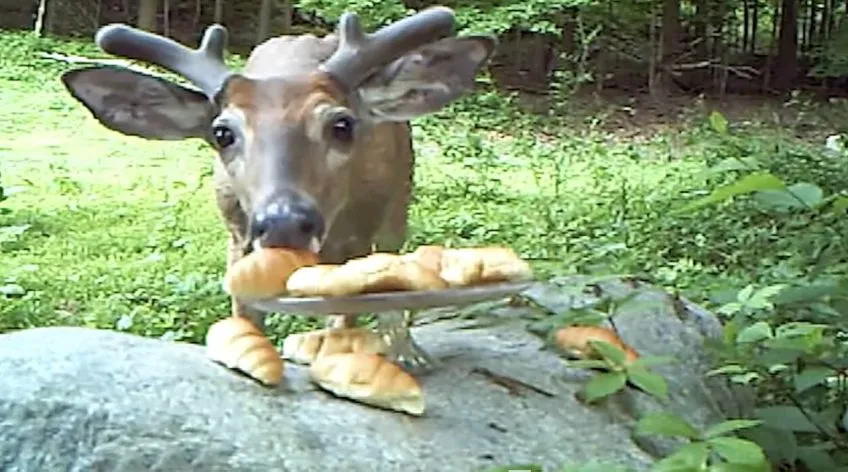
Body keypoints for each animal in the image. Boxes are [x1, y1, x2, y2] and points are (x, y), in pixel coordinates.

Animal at [59, 6, 497, 376]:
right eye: (222, 133)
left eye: (342, 125)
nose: (284, 221)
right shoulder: (237, 234)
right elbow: (245, 313)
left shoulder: (360, 231)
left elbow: (351, 308)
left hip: (400, 189)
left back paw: (405, 351)